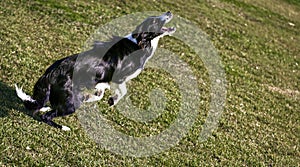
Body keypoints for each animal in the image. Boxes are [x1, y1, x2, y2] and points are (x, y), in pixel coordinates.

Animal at [15, 11, 176, 130]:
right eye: (154, 21)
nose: (169, 12)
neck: (139, 42)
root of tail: (51, 73)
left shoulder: (103, 79)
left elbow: (100, 93)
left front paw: (92, 97)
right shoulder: (118, 78)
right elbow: (122, 92)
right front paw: (112, 100)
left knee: (42, 106)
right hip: (71, 103)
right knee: (47, 115)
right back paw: (63, 127)